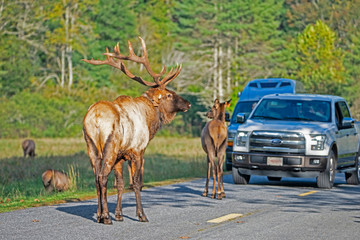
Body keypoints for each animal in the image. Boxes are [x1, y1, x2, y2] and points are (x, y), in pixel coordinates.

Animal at [82, 36, 191, 224]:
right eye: (169, 94)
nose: (188, 103)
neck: (150, 120)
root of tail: (95, 118)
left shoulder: (121, 156)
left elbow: (120, 184)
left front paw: (119, 214)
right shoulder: (138, 150)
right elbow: (137, 183)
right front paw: (141, 215)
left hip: (91, 146)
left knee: (96, 178)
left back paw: (99, 215)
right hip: (110, 146)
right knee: (102, 177)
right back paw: (105, 217)